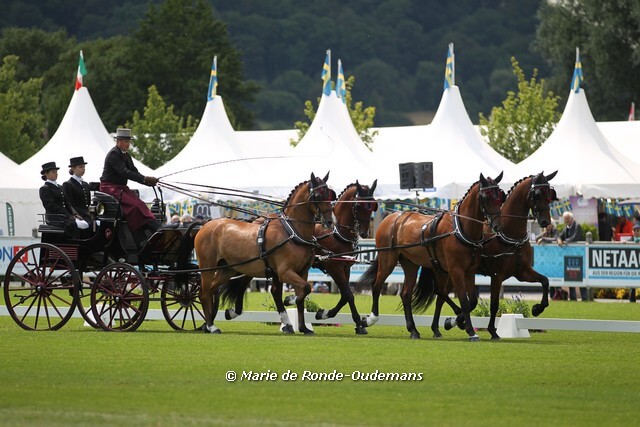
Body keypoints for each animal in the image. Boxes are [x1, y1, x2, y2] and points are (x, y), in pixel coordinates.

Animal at [194, 172, 336, 335]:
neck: (292, 231)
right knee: (204, 294)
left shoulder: (302, 272)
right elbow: (303, 290)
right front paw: (290, 300)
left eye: (330, 195)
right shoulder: (284, 272)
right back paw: (211, 326)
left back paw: (209, 323)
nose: (330, 222)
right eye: (318, 195)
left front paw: (303, 327)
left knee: (212, 290)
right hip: (208, 267)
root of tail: (205, 225)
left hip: (227, 269)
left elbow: (303, 293)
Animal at [357, 172, 505, 341]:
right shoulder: (456, 271)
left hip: (410, 264)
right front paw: (470, 331)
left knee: (406, 294)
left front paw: (454, 322)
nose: (498, 226)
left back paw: (413, 330)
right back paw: (371, 319)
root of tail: (391, 217)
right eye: (486, 197)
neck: (460, 228)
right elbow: (464, 301)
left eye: (500, 197)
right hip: (387, 260)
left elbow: (471, 301)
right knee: (376, 285)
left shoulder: (469, 271)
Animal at [426, 171, 558, 339]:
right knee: (441, 294)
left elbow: (545, 281)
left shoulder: (523, 272)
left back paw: (438, 327)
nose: (546, 221)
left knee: (440, 297)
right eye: (537, 194)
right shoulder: (497, 275)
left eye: (550, 194)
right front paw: (492, 331)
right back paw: (448, 322)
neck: (509, 235)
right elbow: (494, 303)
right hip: (450, 272)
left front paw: (537, 308)